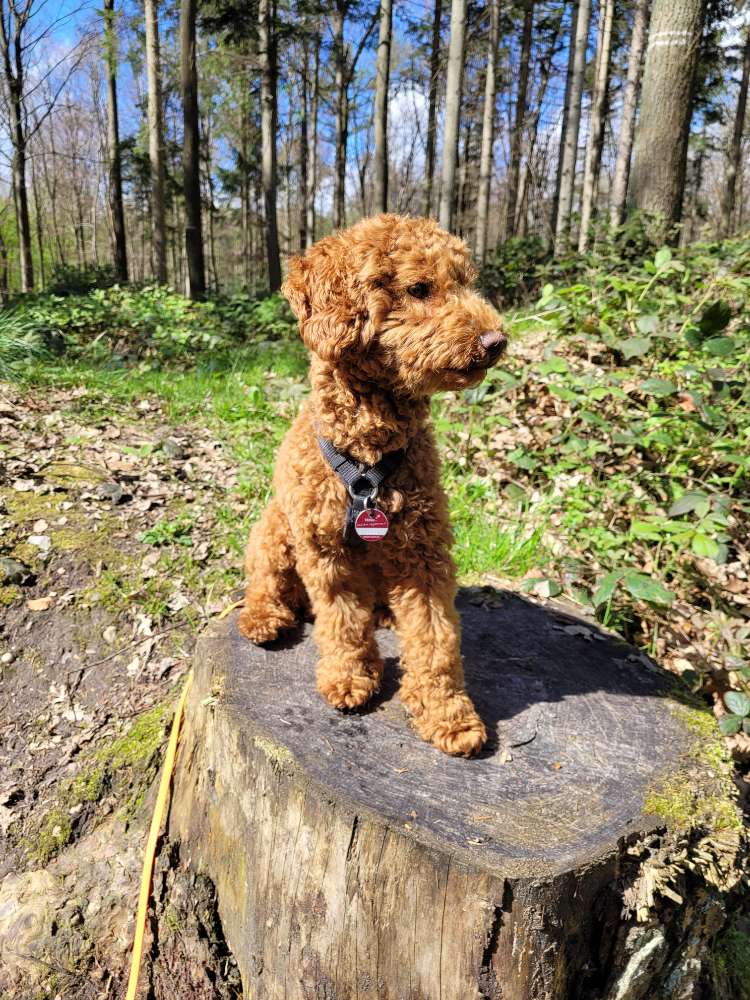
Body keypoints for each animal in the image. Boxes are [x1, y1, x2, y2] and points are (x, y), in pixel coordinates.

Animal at [239, 213, 512, 756]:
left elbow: (435, 638)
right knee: (264, 578)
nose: (496, 341)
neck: (369, 458)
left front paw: (447, 714)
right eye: (419, 288)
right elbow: (341, 622)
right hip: (276, 527)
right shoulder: (325, 552)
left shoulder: (424, 554)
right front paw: (348, 678)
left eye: (465, 282)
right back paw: (263, 616)